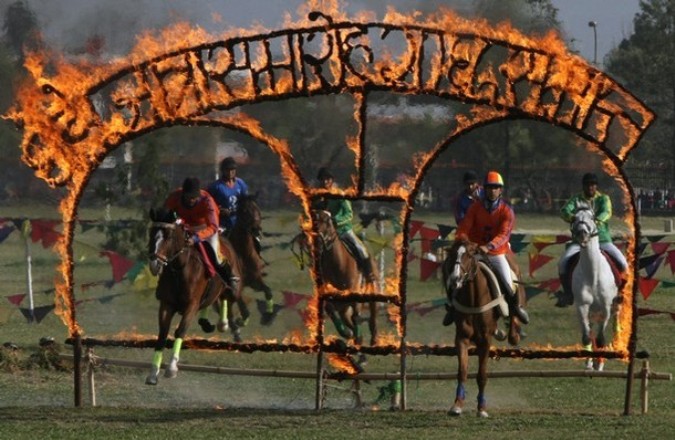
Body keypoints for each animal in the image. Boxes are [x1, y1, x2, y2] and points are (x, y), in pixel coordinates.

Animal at [144, 209, 242, 384]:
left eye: (169, 236)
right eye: (151, 233)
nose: (154, 264)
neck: (180, 268)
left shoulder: (191, 305)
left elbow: (180, 331)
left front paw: (171, 369)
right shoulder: (166, 304)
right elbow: (162, 334)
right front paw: (153, 373)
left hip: (233, 287)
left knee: (228, 297)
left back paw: (225, 324)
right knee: (214, 300)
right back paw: (207, 322)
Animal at [312, 210, 380, 348]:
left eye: (328, 222)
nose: (318, 242)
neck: (338, 265)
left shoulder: (355, 295)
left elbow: (357, 317)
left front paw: (357, 337)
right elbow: (330, 309)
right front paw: (348, 334)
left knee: (373, 319)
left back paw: (373, 340)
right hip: (343, 308)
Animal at [440, 239, 524, 418]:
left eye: (470, 254)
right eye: (452, 254)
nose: (455, 279)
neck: (473, 298)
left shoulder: (485, 340)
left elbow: (482, 374)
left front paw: (482, 408)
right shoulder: (462, 338)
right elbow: (462, 372)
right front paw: (457, 405)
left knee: (514, 307)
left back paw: (514, 331)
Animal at [572, 207, 616, 372]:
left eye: (592, 217)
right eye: (574, 218)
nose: (582, 233)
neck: (593, 274)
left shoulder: (606, 307)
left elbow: (601, 338)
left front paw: (599, 364)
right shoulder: (582, 307)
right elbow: (586, 337)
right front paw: (589, 364)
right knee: (590, 331)